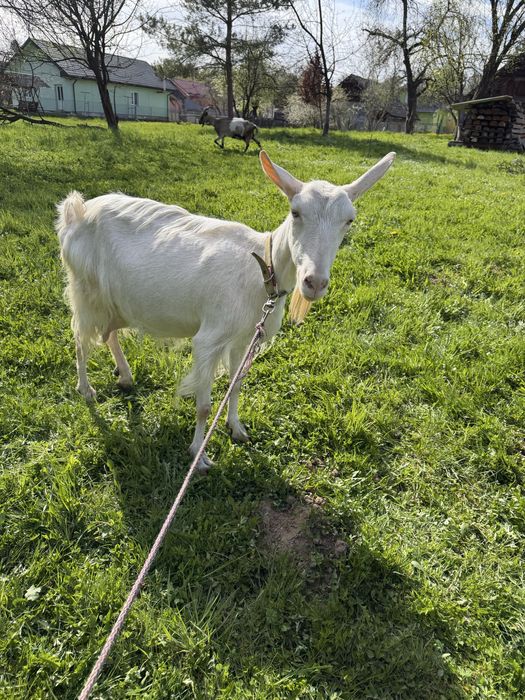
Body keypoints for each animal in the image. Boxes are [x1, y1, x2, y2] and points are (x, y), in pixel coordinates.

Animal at [56, 150, 395, 470]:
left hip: (115, 299)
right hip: (84, 288)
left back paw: (125, 376)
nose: (314, 282)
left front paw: (237, 428)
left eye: (349, 220)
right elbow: (205, 405)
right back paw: (86, 389)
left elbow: (236, 385)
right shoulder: (210, 338)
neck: (262, 270)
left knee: (108, 333)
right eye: (295, 212)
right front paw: (199, 455)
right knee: (80, 336)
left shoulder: (245, 337)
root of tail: (75, 210)